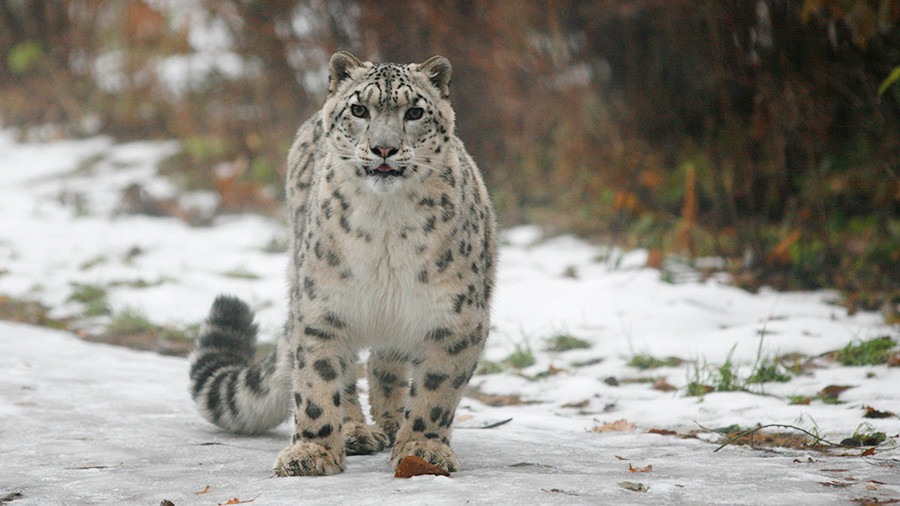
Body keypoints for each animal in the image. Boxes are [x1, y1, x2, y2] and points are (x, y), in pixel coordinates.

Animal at [191, 53, 500, 476]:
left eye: (415, 112)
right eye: (359, 110)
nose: (384, 148)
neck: (386, 227)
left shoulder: (456, 319)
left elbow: (435, 393)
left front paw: (421, 450)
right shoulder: (321, 309)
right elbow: (317, 383)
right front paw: (311, 452)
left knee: (386, 364)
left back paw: (390, 422)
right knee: (351, 371)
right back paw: (356, 431)